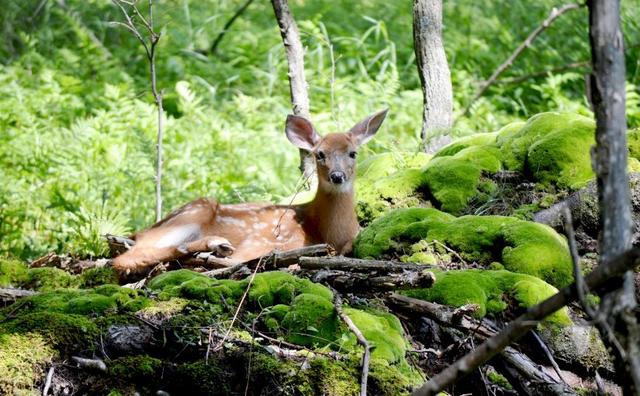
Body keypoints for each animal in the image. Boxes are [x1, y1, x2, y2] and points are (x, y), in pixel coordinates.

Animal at [112, 110, 388, 280]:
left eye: (353, 153)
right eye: (320, 154)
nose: (337, 176)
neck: (327, 232)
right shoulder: (264, 242)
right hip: (192, 213)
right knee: (128, 257)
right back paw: (216, 244)